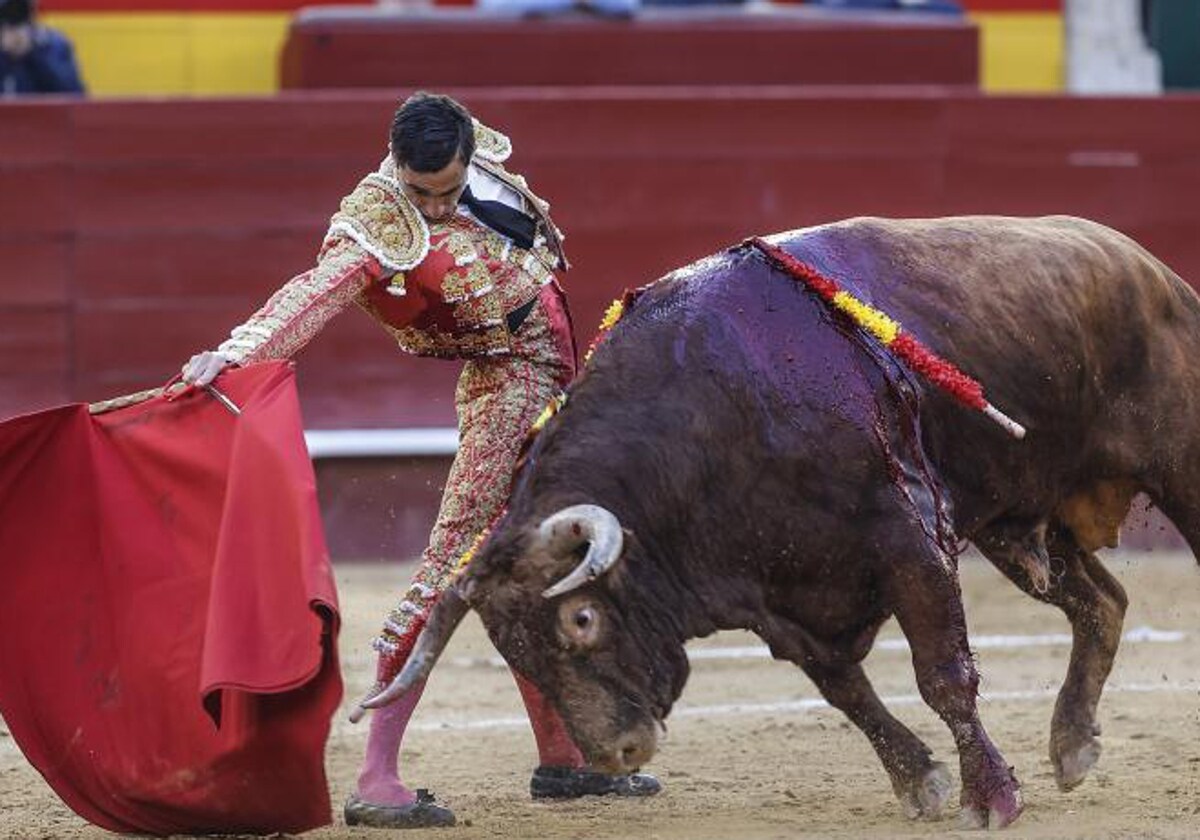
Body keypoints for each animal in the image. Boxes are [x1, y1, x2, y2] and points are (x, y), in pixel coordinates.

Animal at [364, 216, 1200, 825]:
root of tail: (1153, 269)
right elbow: (846, 692)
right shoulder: (778, 599)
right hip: (1016, 521)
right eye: (515, 653)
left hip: (1177, 468)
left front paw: (990, 798)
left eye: (582, 620)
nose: (616, 754)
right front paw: (920, 784)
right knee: (1102, 603)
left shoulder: (910, 545)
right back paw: (1073, 747)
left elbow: (944, 679)